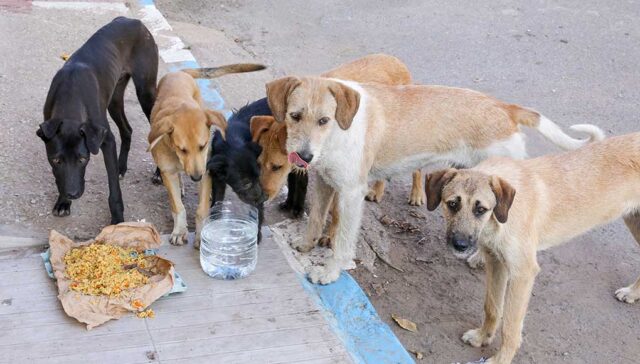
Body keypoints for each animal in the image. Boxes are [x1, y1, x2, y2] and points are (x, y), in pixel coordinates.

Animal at [37, 17, 158, 225]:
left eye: (83, 159)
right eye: (56, 160)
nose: (73, 194)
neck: (71, 95)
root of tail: (134, 20)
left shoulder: (106, 140)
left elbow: (113, 188)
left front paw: (117, 219)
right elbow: (60, 178)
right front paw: (63, 202)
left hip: (146, 93)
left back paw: (159, 173)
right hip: (114, 99)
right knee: (127, 130)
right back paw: (121, 167)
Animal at [250, 54, 424, 208]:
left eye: (277, 167)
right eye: (258, 163)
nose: (261, 198)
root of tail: (396, 60)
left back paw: (417, 194)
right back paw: (378, 190)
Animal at [264, 74, 604, 284]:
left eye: (324, 120)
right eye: (294, 116)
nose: (304, 157)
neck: (338, 132)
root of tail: (505, 108)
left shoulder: (350, 193)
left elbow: (342, 241)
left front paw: (331, 272)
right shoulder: (324, 182)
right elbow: (315, 219)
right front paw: (306, 245)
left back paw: (480, 258)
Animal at [424, 133, 640, 364]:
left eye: (480, 209)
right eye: (452, 204)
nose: (460, 245)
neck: (502, 215)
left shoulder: (523, 273)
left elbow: (510, 326)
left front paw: (501, 359)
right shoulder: (496, 262)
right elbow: (492, 307)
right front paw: (483, 337)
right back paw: (633, 293)